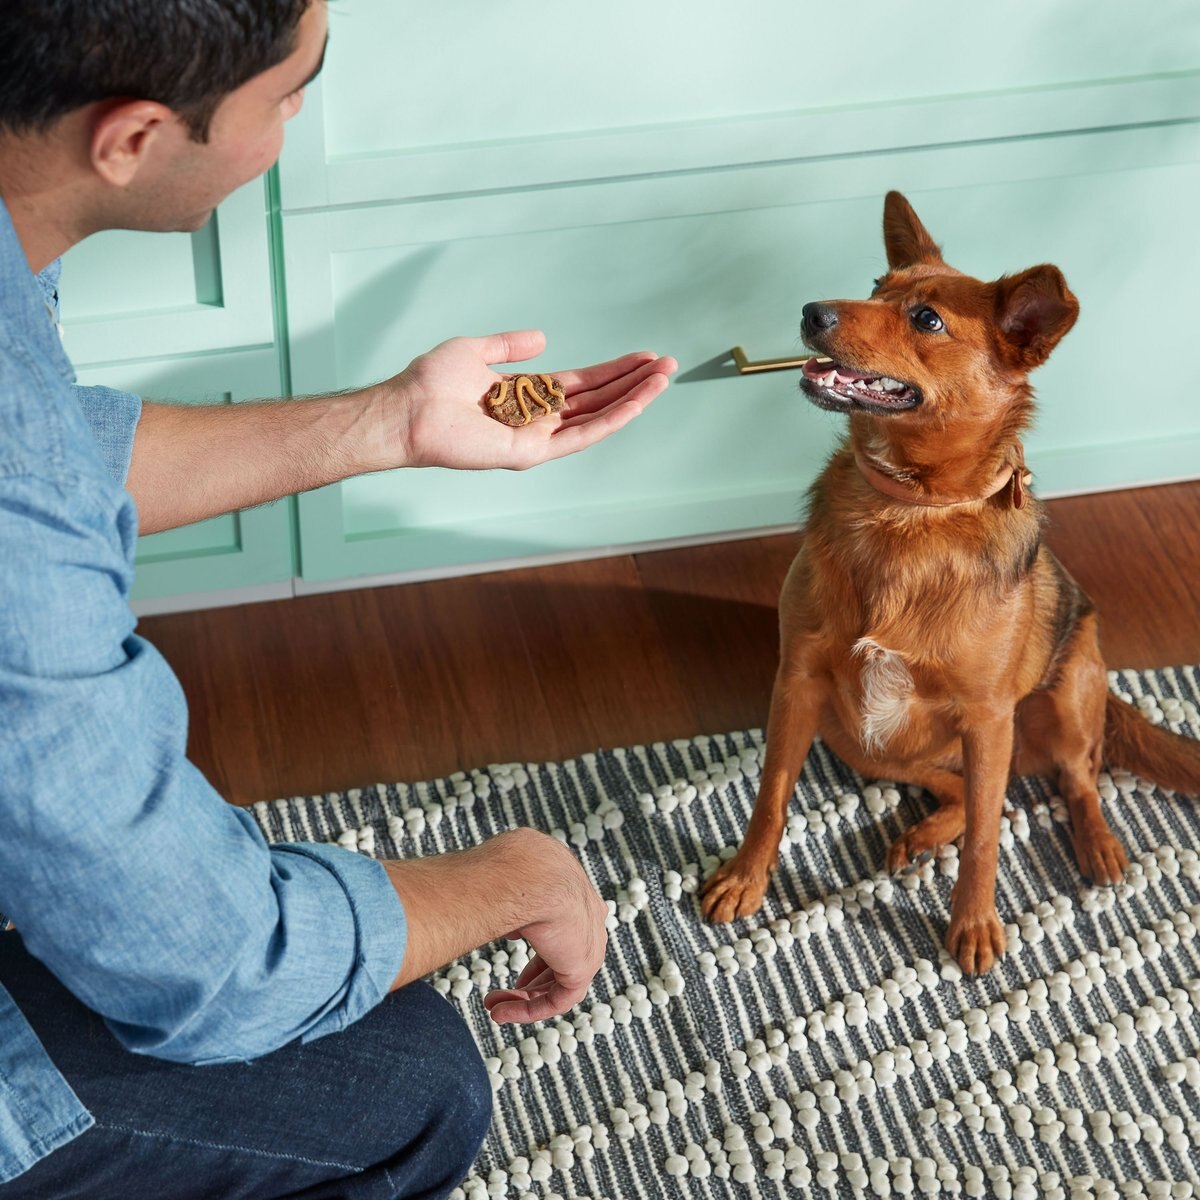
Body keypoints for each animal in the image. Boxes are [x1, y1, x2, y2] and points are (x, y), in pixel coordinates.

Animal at [700, 189, 1200, 974]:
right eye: (876, 287)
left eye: (927, 319)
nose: (811, 310)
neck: (907, 511)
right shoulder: (797, 683)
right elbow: (770, 796)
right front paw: (746, 878)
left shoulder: (988, 718)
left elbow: (990, 843)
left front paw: (973, 925)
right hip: (857, 738)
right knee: (960, 788)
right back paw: (922, 832)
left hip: (1061, 699)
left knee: (1073, 777)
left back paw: (1097, 845)